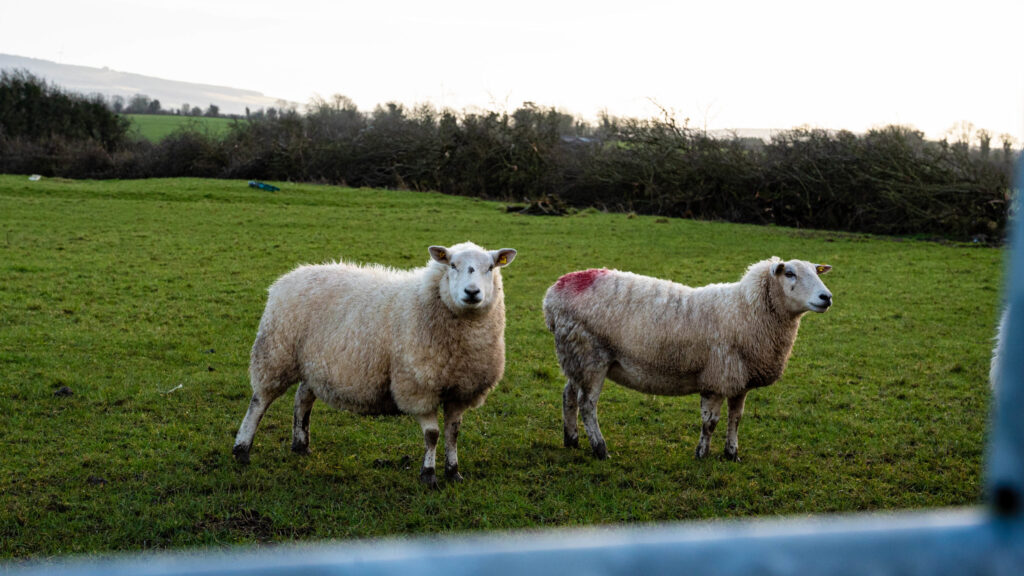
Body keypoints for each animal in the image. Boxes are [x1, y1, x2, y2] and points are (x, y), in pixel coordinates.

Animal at [232, 242, 517, 488]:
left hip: (315, 364)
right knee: (259, 402)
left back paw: (301, 445)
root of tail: (290, 276)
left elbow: (453, 433)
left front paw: (454, 472)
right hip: (276, 353)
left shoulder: (461, 390)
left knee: (302, 399)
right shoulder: (417, 387)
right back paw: (242, 450)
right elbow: (432, 435)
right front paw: (428, 475)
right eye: (453, 265)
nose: (472, 292)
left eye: (490, 267)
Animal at [543, 257, 833, 462]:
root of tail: (554, 292)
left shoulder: (739, 379)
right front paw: (702, 454)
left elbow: (736, 418)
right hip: (591, 355)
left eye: (816, 272)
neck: (745, 310)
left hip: (575, 356)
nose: (826, 297)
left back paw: (572, 439)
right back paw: (600, 449)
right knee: (587, 404)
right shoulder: (716, 378)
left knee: (568, 395)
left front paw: (732, 454)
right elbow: (710, 422)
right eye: (790, 273)